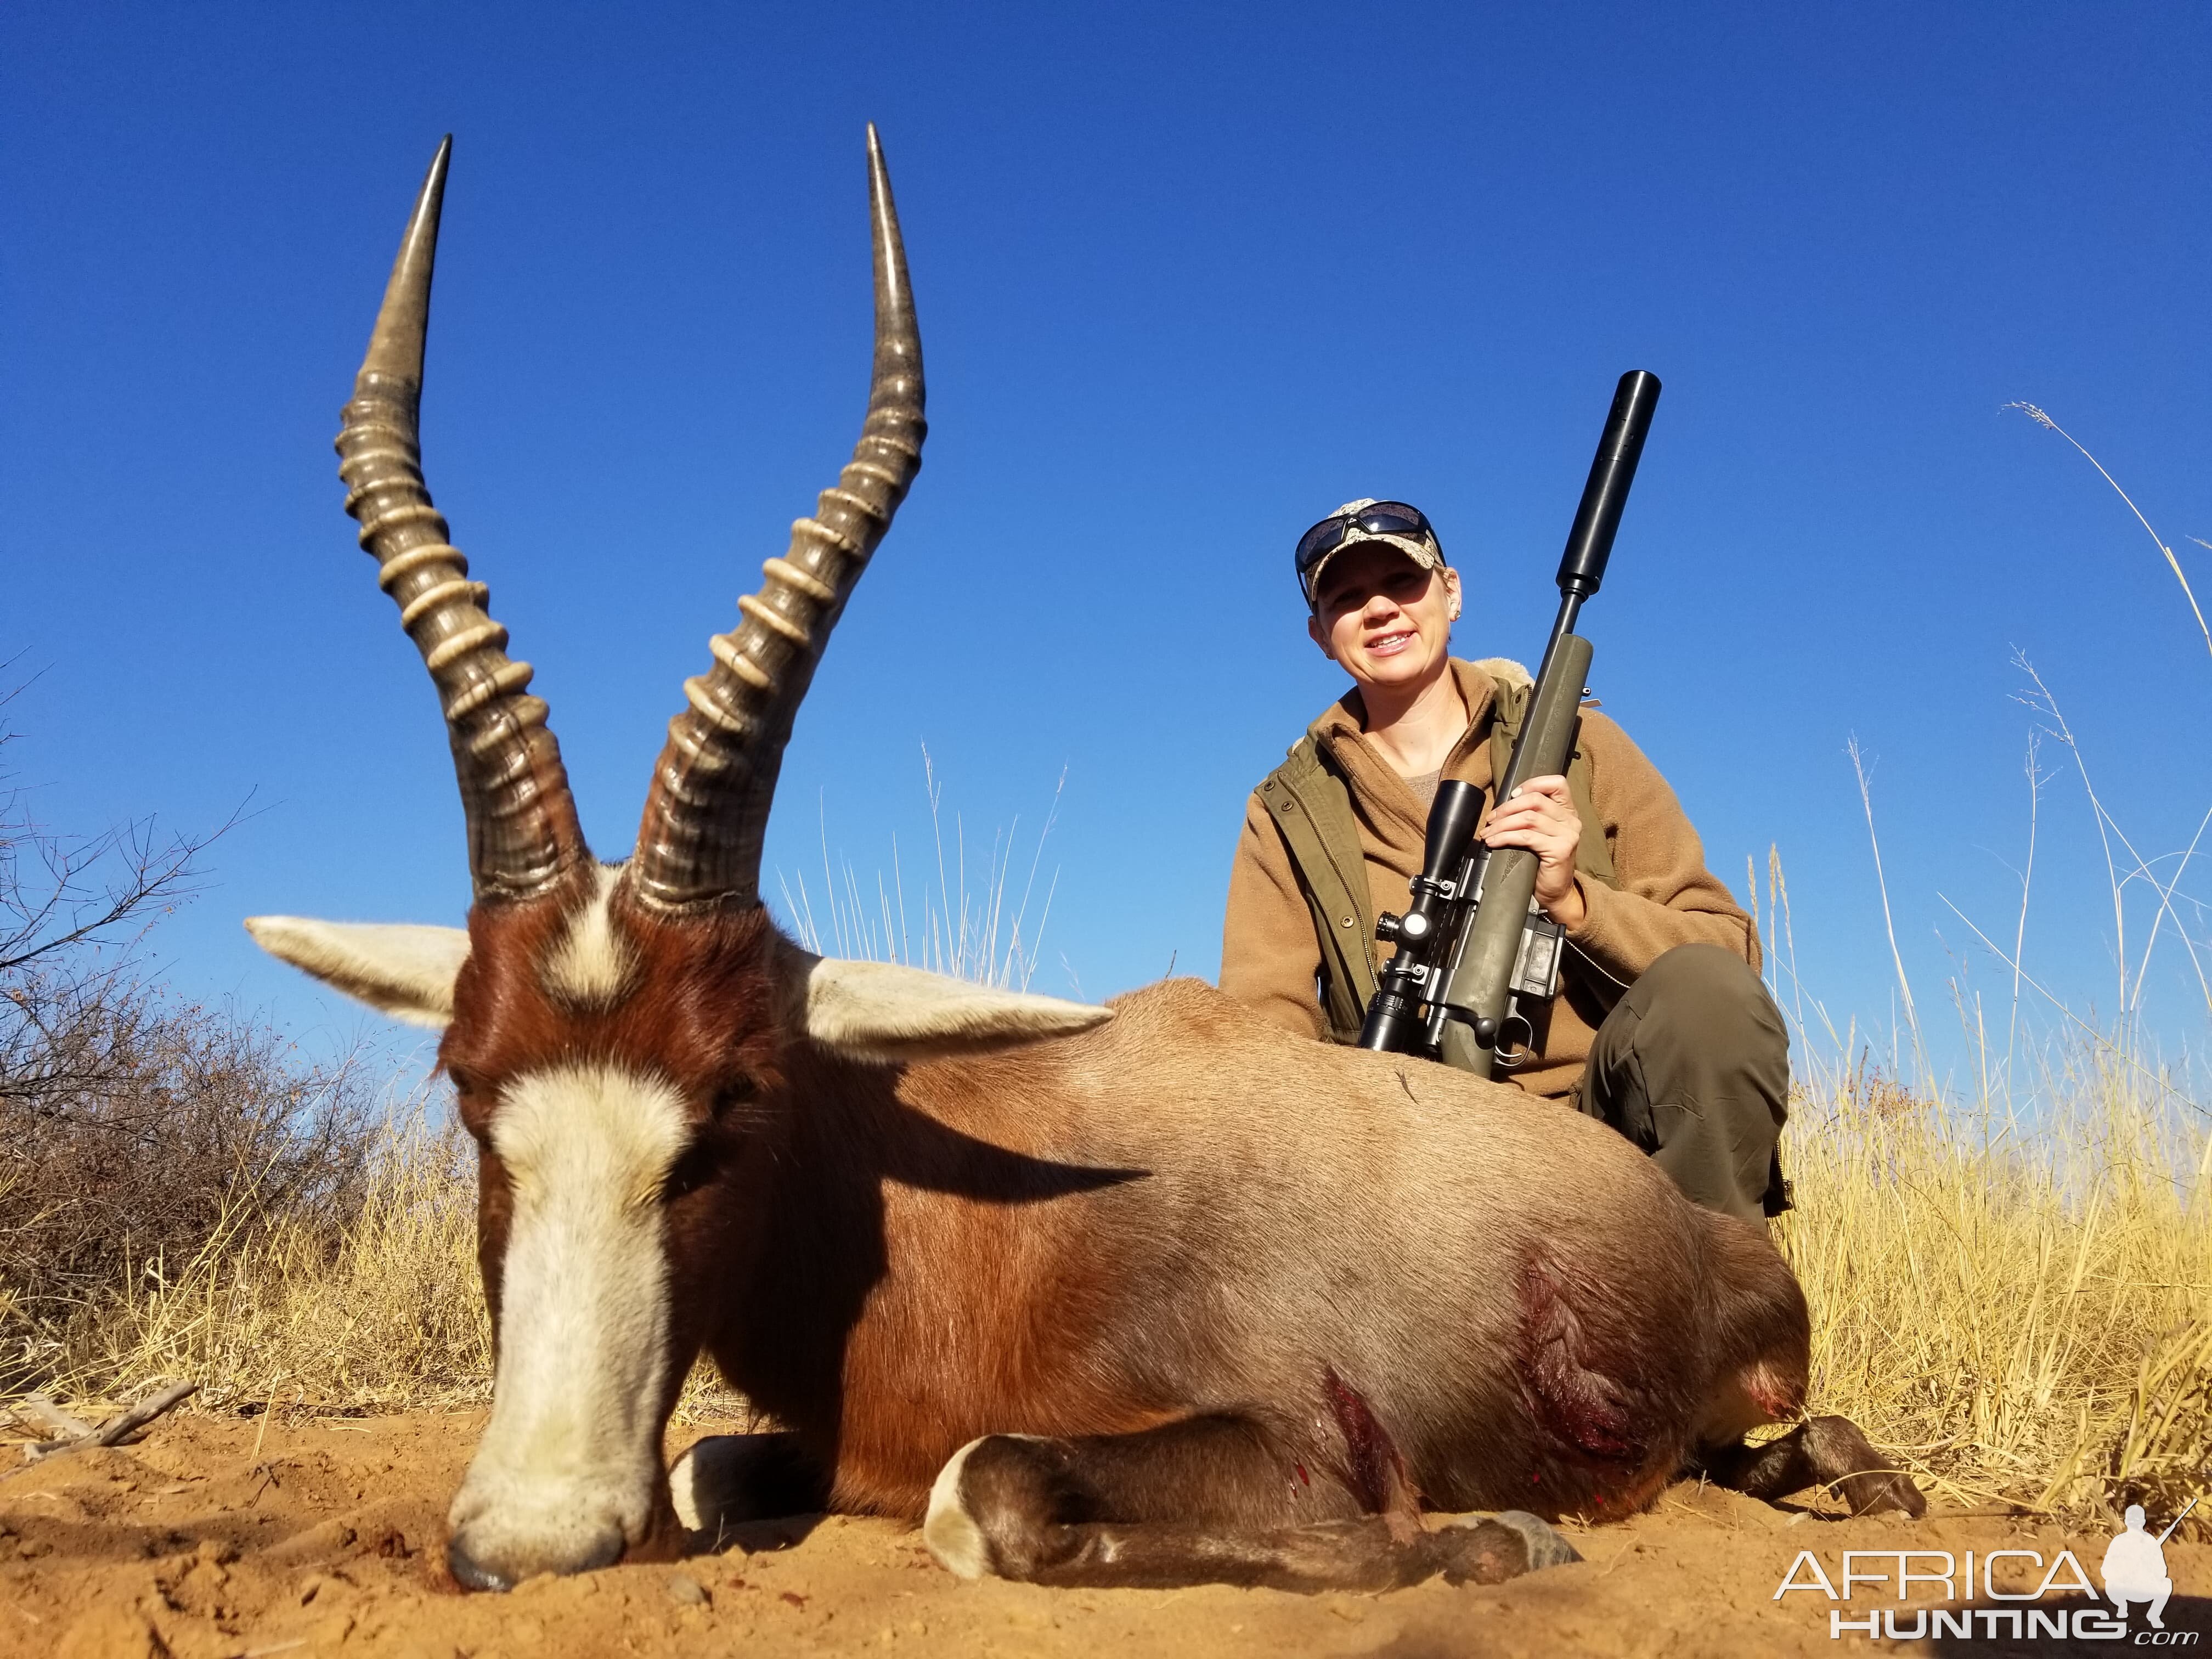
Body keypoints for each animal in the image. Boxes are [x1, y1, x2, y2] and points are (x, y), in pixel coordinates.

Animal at [251, 133, 1920, 1601]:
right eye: (470, 1086)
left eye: (737, 1094)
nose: (533, 1542)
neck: (989, 1199)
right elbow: (718, 1466)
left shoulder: (1289, 1434)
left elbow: (979, 1488)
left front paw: (1493, 1543)